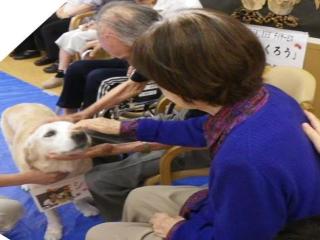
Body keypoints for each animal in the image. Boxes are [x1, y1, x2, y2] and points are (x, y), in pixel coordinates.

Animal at [0, 104, 97, 240]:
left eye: (75, 126)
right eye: (50, 133)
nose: (80, 134)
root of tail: (18, 104)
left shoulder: (79, 181)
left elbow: (79, 199)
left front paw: (86, 208)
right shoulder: (40, 194)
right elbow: (51, 215)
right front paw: (54, 231)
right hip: (10, 145)